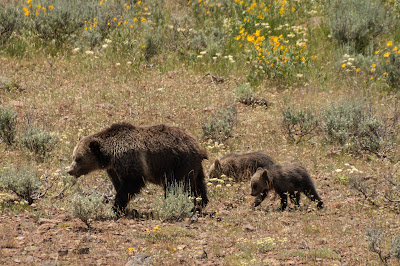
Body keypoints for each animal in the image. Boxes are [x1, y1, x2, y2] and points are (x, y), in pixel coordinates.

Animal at [67, 122, 208, 216]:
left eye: (79, 158)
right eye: (73, 156)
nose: (70, 170)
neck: (110, 157)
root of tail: (197, 146)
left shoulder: (130, 160)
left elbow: (131, 185)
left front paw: (116, 207)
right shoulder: (114, 169)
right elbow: (118, 184)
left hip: (178, 163)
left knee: (177, 185)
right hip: (193, 166)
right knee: (198, 184)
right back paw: (200, 203)